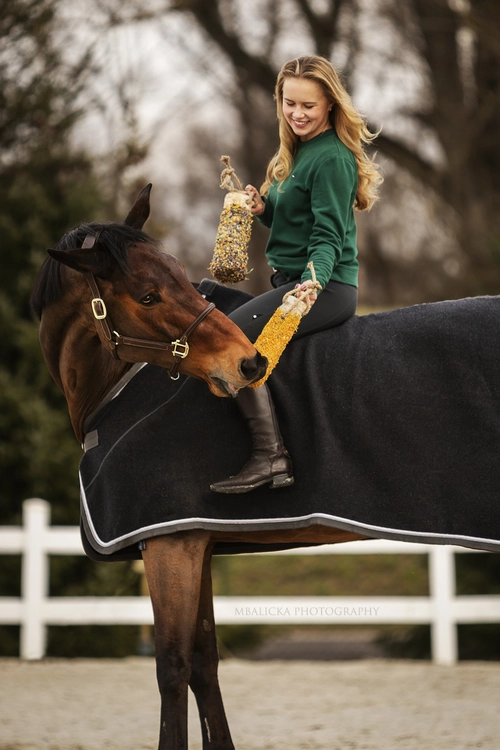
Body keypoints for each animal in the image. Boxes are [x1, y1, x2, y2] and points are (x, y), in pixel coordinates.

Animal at [32, 185, 500, 750]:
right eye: (147, 295)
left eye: (175, 275)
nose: (250, 363)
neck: (123, 389)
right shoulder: (194, 541)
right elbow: (204, 664)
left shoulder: (170, 545)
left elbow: (173, 669)